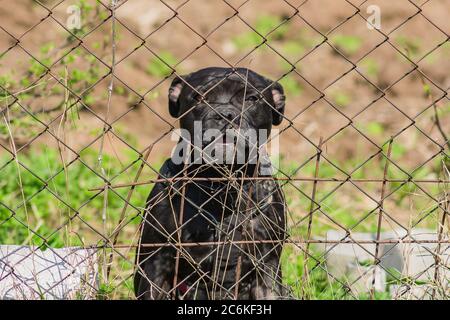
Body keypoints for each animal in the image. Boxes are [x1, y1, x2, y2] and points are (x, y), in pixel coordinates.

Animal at [134, 67, 288, 300]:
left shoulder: (266, 265)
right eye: (199, 97)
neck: (221, 185)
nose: (225, 114)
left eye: (252, 99)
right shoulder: (156, 264)